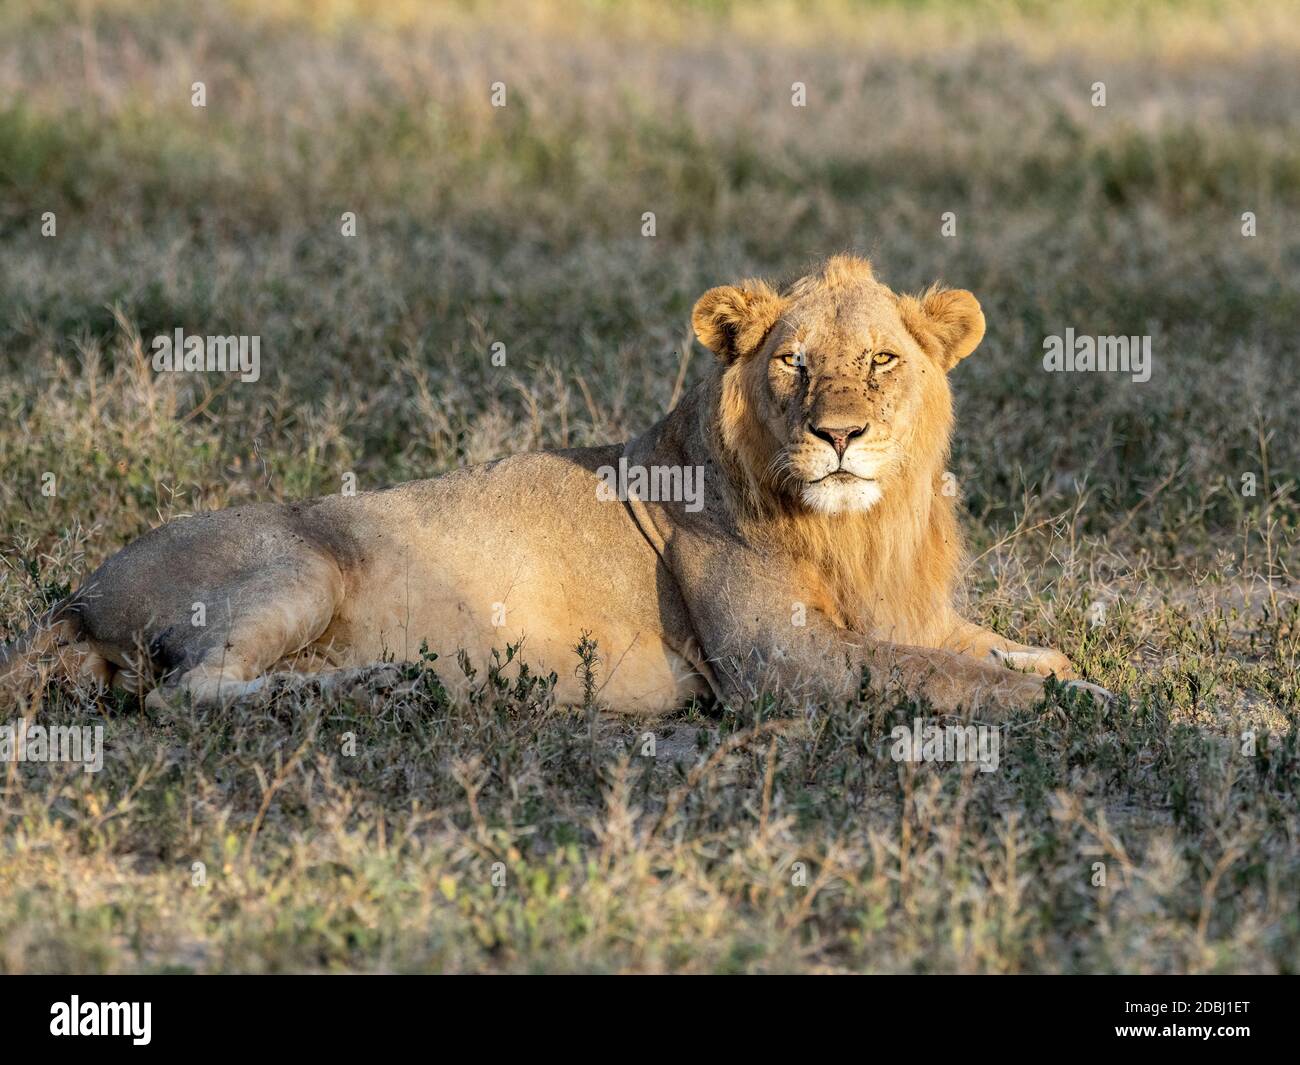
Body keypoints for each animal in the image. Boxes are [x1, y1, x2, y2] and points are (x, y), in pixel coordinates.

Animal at [5, 253, 1112, 712]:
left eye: (882, 361)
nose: (838, 434)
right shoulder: (777, 663)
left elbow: (1004, 651)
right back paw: (373, 686)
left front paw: (1081, 676)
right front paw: (1086, 707)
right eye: (794, 364)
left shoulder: (903, 614)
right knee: (183, 695)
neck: (855, 528)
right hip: (299, 563)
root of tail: (77, 595)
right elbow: (956, 678)